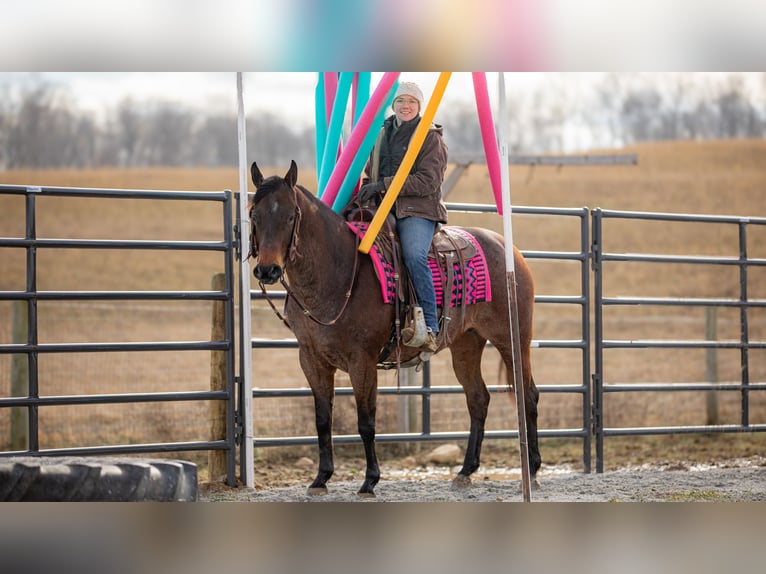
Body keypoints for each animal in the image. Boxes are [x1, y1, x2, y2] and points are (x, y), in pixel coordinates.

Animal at [249, 162, 544, 500]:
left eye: (289, 216)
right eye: (254, 215)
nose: (267, 270)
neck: (337, 273)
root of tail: (510, 251)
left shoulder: (362, 360)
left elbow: (366, 421)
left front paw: (369, 481)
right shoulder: (311, 359)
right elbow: (323, 419)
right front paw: (321, 478)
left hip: (513, 338)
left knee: (528, 395)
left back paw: (532, 471)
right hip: (467, 344)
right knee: (478, 399)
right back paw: (465, 472)